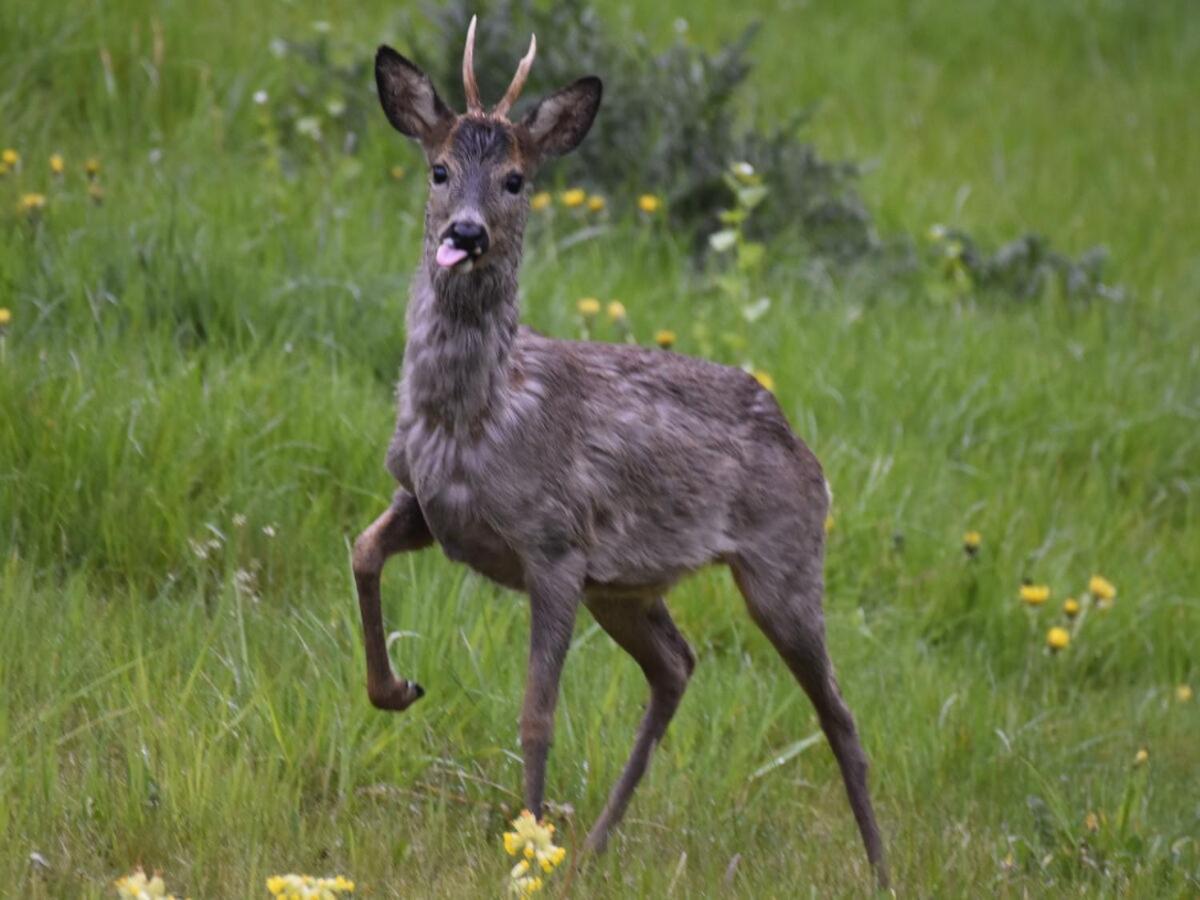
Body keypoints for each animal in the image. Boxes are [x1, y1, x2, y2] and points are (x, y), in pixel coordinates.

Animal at [350, 19, 888, 888]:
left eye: (515, 180)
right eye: (438, 169)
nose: (464, 233)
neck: (476, 414)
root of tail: (808, 452)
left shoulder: (555, 544)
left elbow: (537, 713)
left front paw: (527, 850)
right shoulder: (426, 504)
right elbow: (363, 552)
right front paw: (395, 688)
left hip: (782, 562)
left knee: (838, 713)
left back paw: (880, 870)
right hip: (628, 588)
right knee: (677, 665)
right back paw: (598, 842)